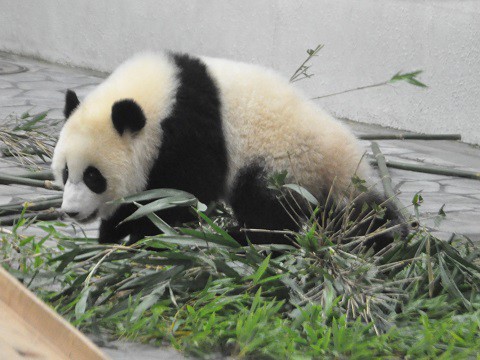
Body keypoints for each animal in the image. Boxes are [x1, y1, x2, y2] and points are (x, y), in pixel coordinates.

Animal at [51, 52, 404, 249]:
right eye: (66, 172)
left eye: (94, 176)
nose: (71, 211)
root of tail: (350, 170)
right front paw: (113, 231)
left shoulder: (190, 135)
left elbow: (183, 194)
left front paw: (142, 233)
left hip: (286, 163)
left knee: (268, 212)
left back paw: (243, 236)